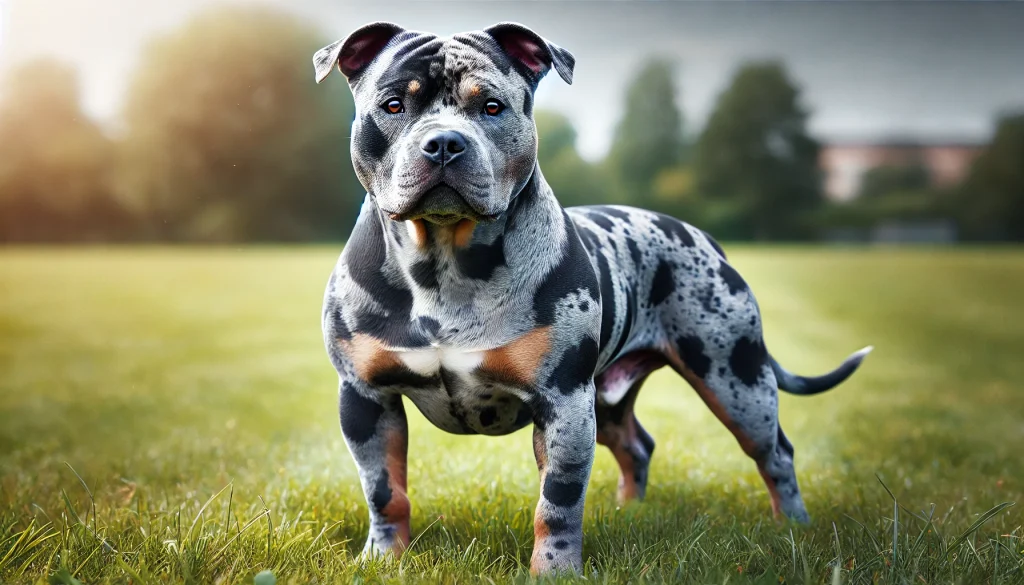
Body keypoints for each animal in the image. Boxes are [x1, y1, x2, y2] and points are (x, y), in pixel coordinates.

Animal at [313, 20, 872, 573]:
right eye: (393, 105)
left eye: (491, 107)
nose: (445, 142)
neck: (444, 261)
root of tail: (703, 238)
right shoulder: (364, 399)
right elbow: (385, 490)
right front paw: (384, 558)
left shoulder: (563, 401)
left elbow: (557, 500)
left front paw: (555, 571)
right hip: (610, 398)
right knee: (637, 446)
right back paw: (630, 511)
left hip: (735, 379)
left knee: (775, 453)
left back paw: (793, 526)